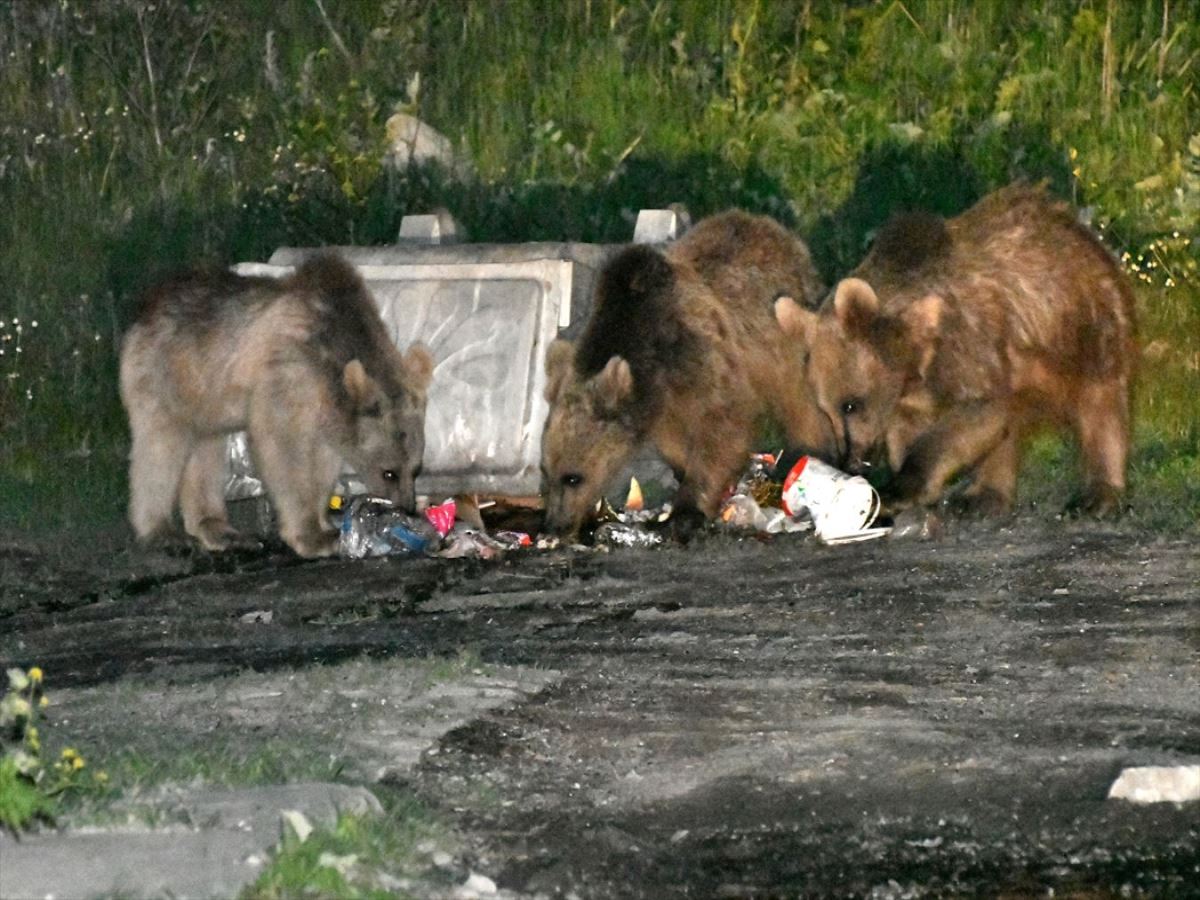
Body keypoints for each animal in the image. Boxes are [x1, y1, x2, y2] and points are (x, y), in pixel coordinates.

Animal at [117, 254, 434, 556]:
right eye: (389, 472)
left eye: (416, 468)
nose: (408, 508)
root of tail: (148, 304)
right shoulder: (288, 374)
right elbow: (283, 449)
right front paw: (312, 536)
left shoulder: (324, 407)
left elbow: (323, 459)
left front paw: (323, 523)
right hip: (162, 373)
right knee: (160, 446)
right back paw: (162, 531)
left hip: (205, 395)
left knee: (206, 448)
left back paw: (220, 530)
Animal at [542, 207, 830, 540]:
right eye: (546, 471)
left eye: (573, 477)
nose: (555, 525)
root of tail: (772, 227)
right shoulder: (664, 402)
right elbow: (676, 443)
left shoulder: (703, 359)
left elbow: (721, 427)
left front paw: (686, 510)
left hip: (784, 332)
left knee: (802, 400)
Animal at [777, 183, 1132, 518]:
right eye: (824, 409)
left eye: (850, 404)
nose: (850, 461)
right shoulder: (909, 392)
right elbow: (910, 431)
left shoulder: (972, 346)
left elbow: (972, 415)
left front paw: (896, 491)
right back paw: (982, 495)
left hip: (1085, 321)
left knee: (1099, 403)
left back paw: (1098, 494)